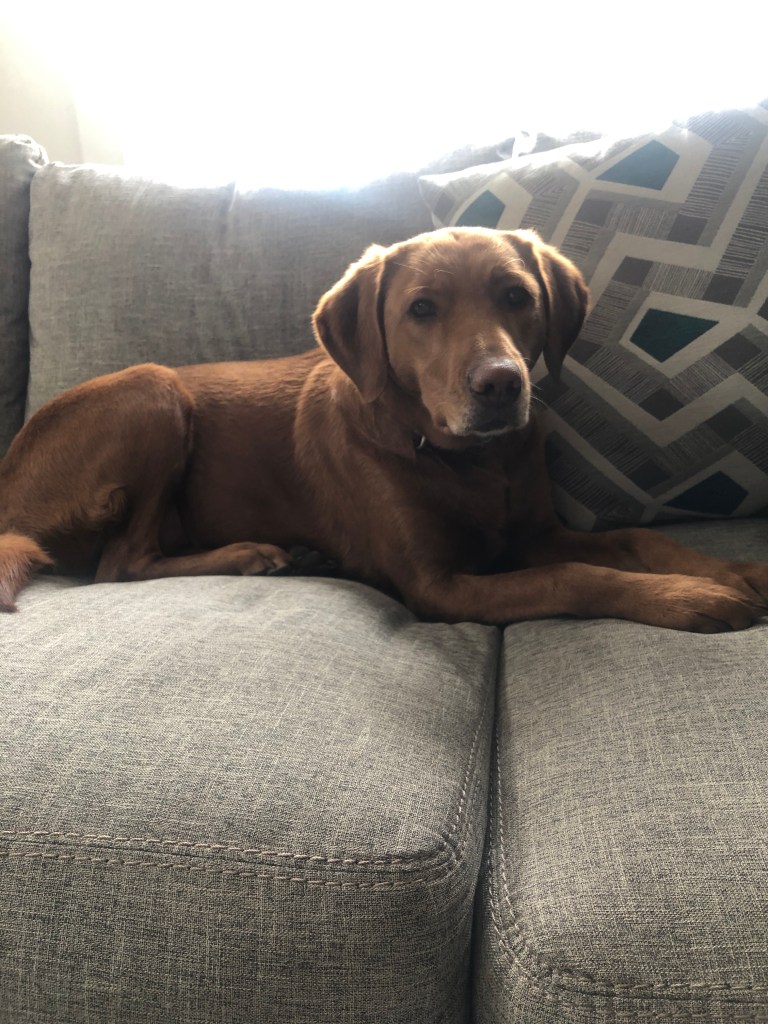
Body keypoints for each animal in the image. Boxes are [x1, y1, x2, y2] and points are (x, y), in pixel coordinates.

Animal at [1, 226, 767, 631]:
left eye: (516, 296)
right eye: (422, 309)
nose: (501, 384)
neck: (466, 462)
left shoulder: (534, 531)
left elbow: (636, 539)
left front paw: (731, 569)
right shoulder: (439, 585)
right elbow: (573, 577)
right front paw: (693, 597)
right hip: (155, 389)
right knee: (119, 564)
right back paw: (254, 553)